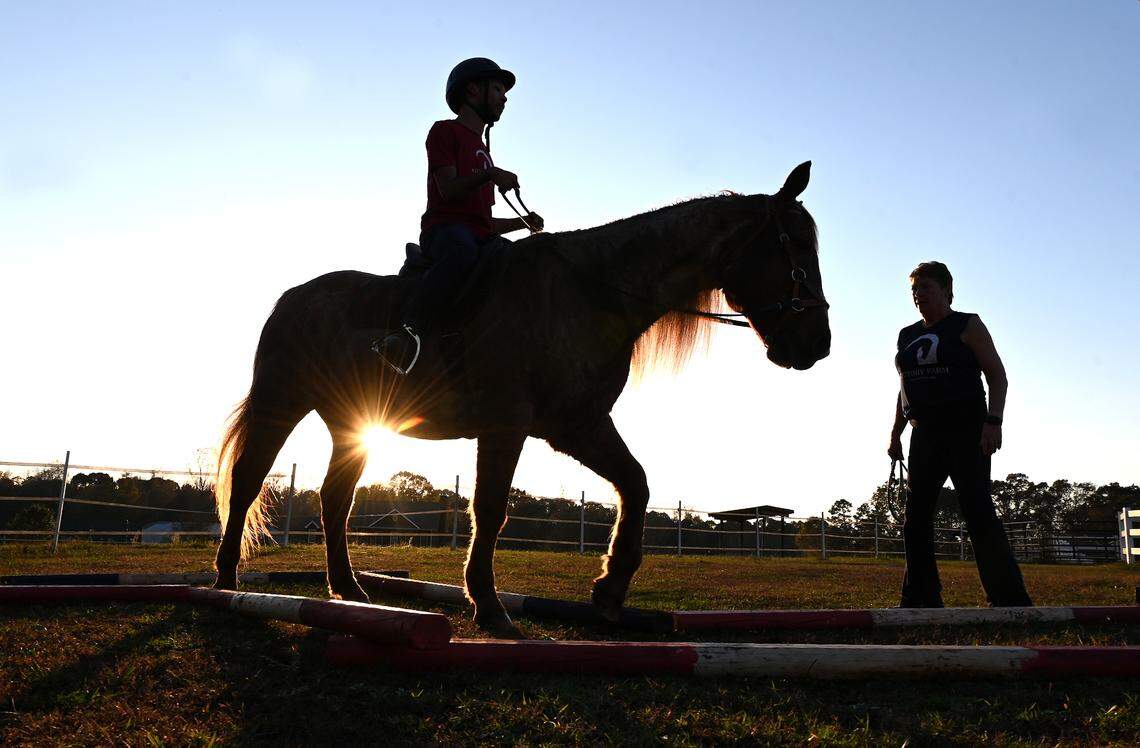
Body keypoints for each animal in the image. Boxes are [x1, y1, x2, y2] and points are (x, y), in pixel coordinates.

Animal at [212, 161, 830, 637]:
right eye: (797, 242)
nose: (817, 343)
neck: (588, 291)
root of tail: (293, 298)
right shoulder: (506, 424)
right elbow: (490, 508)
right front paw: (487, 604)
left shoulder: (579, 424)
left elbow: (635, 483)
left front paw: (610, 589)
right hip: (280, 403)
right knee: (247, 482)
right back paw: (225, 581)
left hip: (353, 426)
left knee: (335, 499)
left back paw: (348, 589)